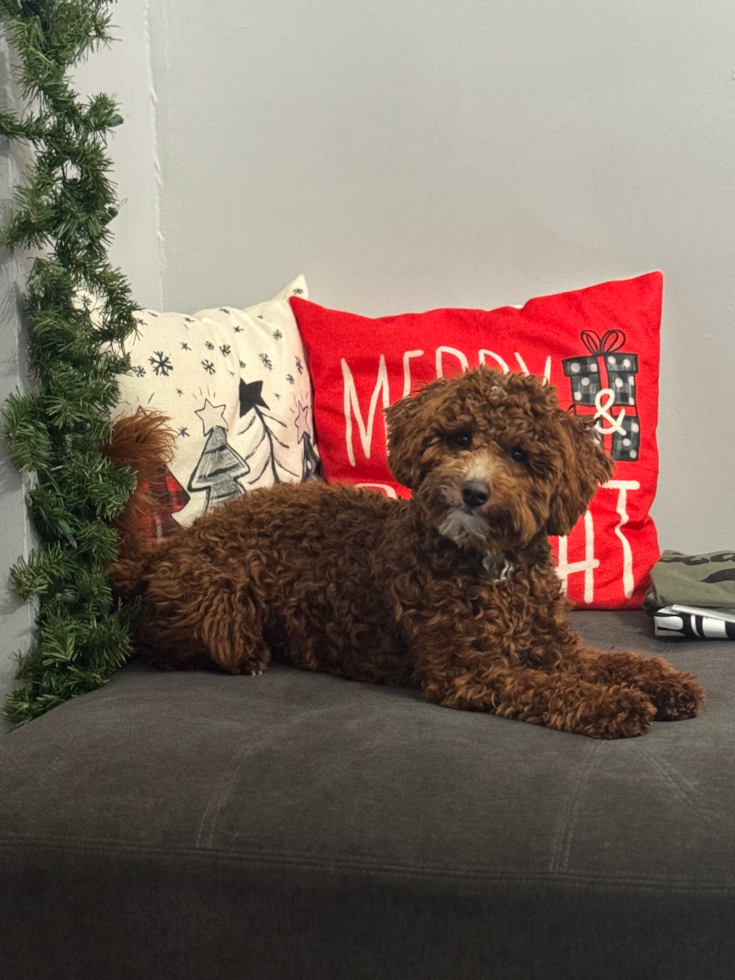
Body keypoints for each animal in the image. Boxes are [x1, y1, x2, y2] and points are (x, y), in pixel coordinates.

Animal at [106, 368, 704, 736]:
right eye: (461, 438)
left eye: (519, 454)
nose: (473, 492)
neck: (492, 569)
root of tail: (167, 549)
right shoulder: (472, 671)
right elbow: (551, 689)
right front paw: (617, 703)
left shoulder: (555, 647)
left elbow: (613, 662)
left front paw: (665, 683)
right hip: (221, 604)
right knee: (161, 643)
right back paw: (248, 656)